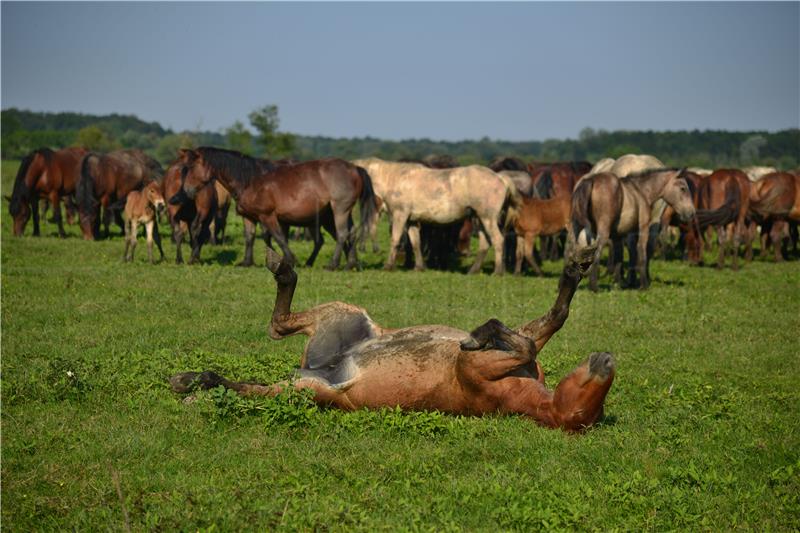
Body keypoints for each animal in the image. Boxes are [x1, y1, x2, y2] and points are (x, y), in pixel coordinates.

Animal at [172, 245, 616, 432]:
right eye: (594, 398)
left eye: (586, 411)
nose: (607, 360)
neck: (523, 395)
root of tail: (322, 366)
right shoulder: (517, 350)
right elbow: (551, 321)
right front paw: (575, 266)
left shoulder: (478, 367)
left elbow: (523, 338)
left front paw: (478, 334)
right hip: (344, 315)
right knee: (278, 325)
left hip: (303, 390)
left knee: (268, 347)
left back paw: (193, 383)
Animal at [177, 147, 376, 268]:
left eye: (191, 167)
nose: (187, 190)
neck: (250, 179)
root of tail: (355, 168)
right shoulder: (249, 217)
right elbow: (249, 237)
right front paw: (247, 262)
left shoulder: (268, 216)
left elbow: (279, 237)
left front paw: (290, 259)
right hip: (336, 214)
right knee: (351, 233)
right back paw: (351, 264)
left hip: (339, 210)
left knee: (342, 234)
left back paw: (333, 265)